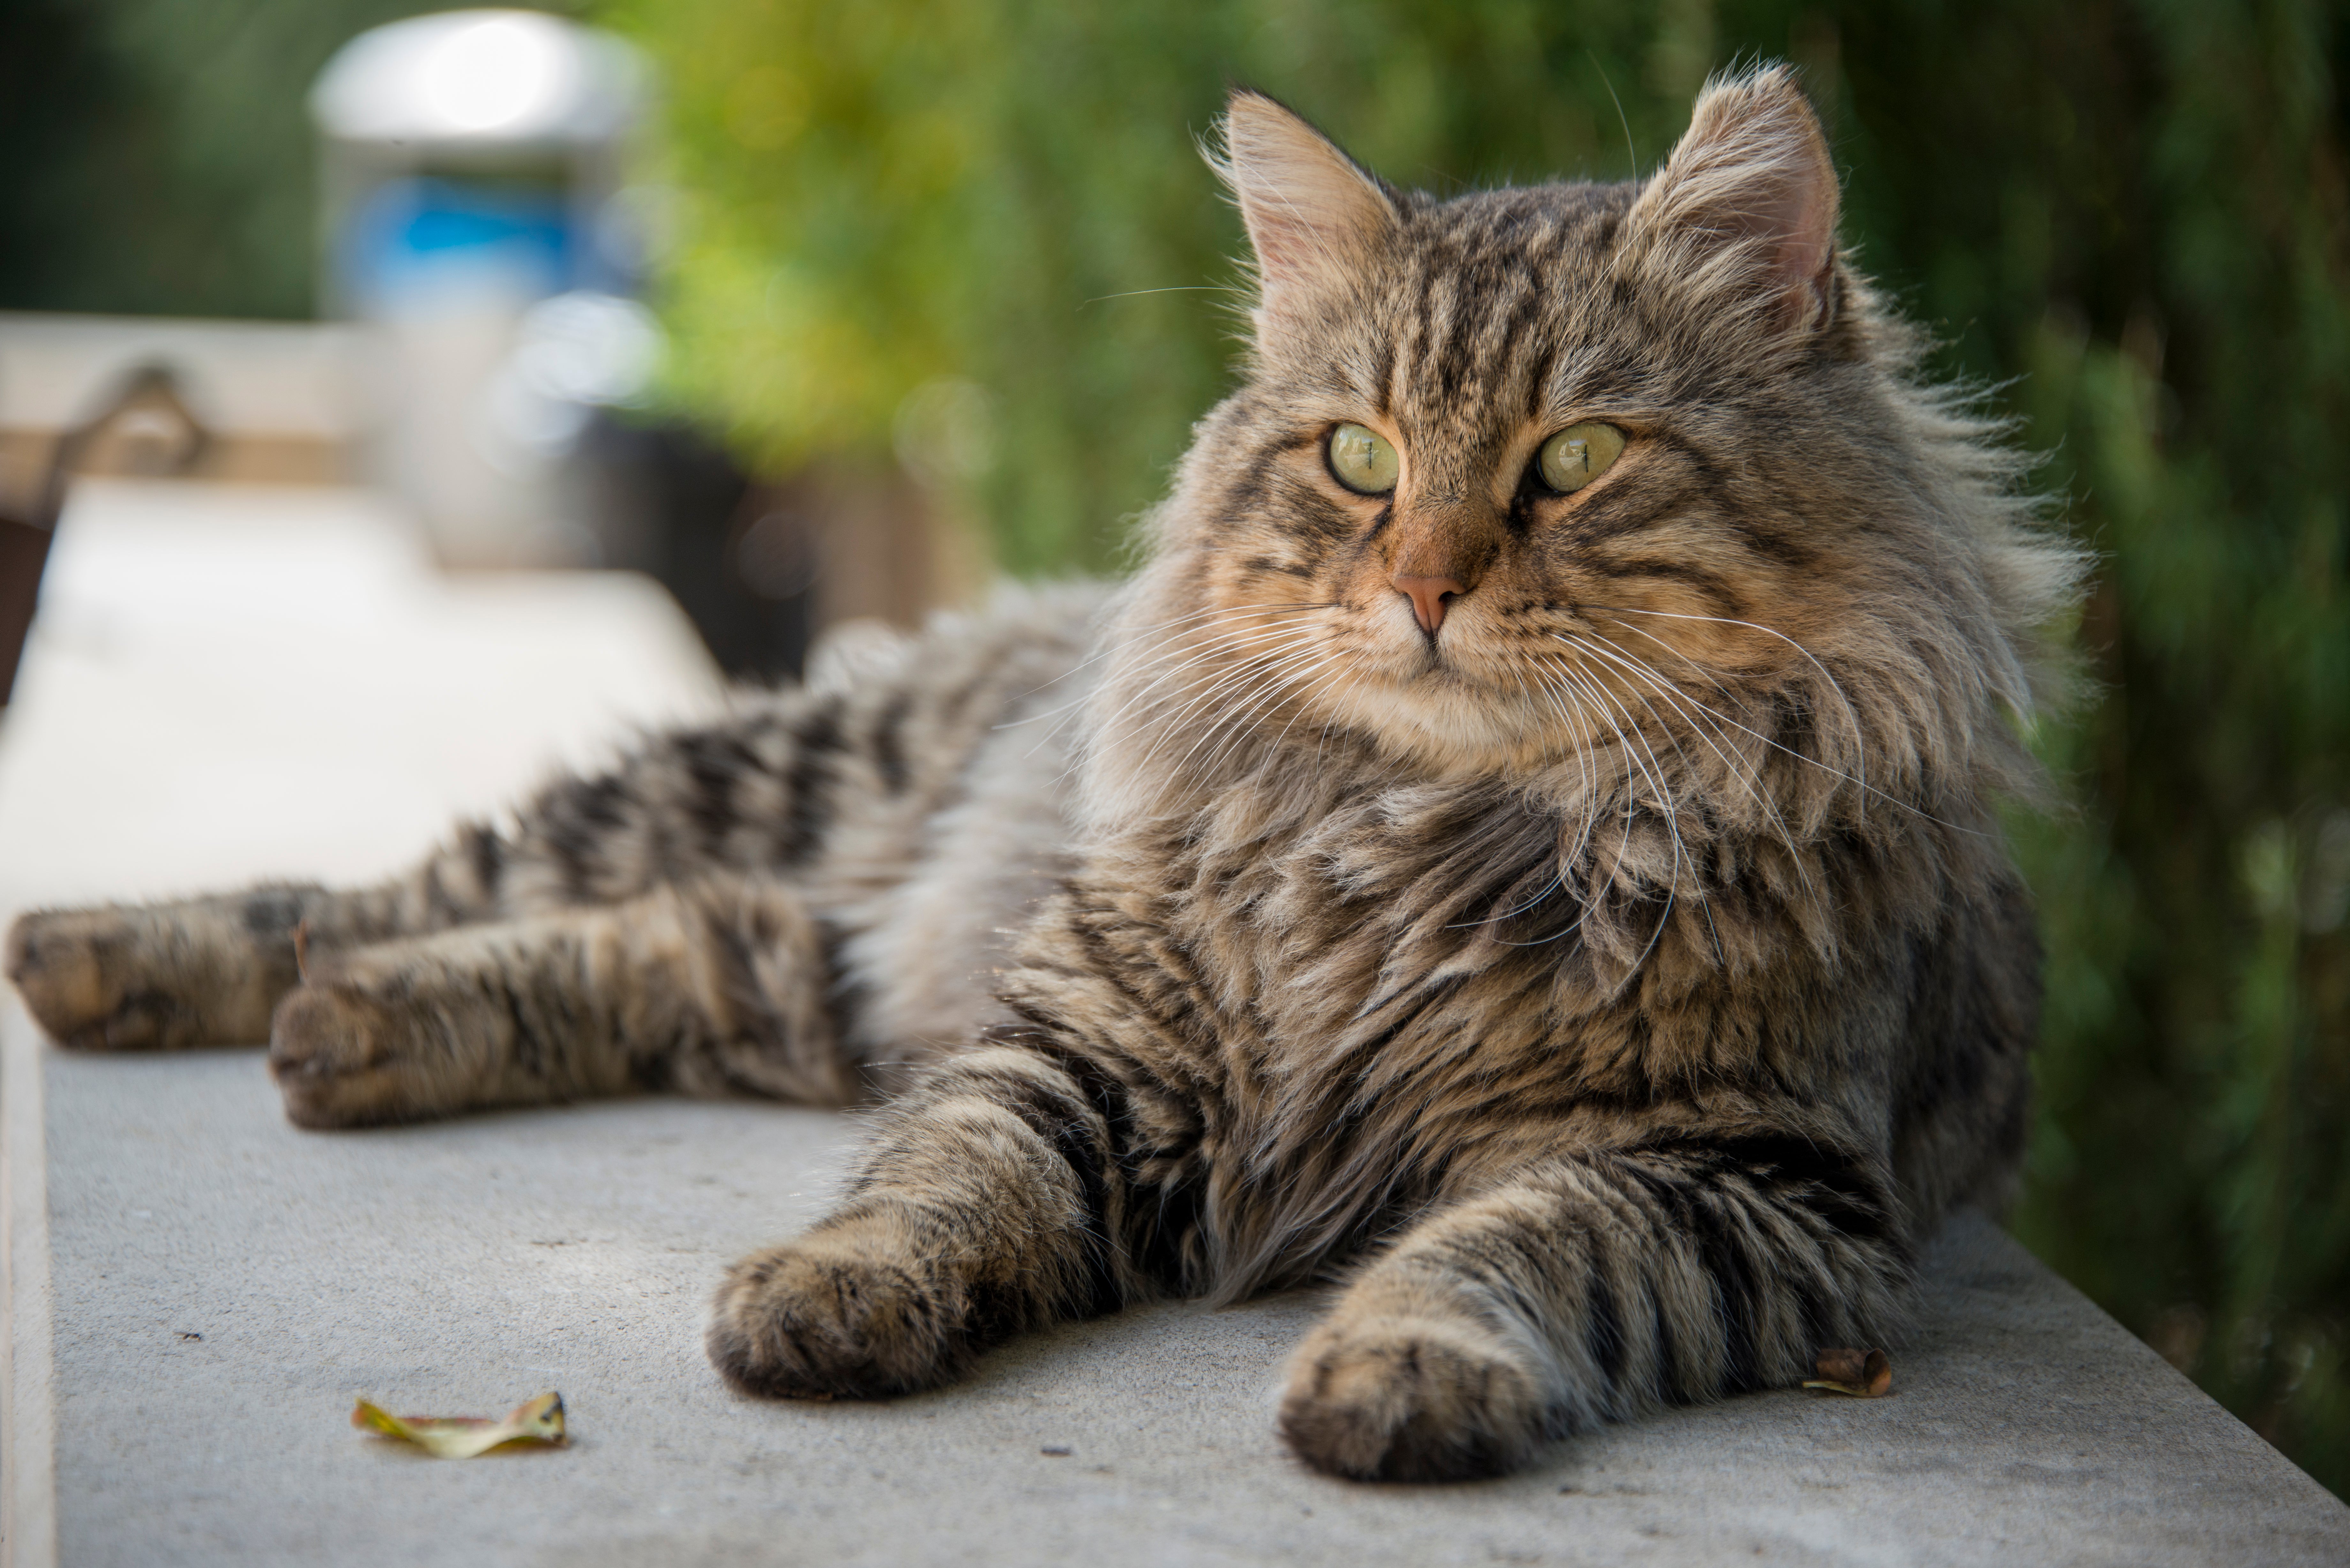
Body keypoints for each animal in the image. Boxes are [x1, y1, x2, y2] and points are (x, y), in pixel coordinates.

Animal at [0, 64, 2077, 1486]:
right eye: (1353, 457)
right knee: (409, 886)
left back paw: (346, 1033)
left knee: (663, 944)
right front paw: (822, 1293)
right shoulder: (1083, 1049)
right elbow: (939, 1180)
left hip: (836, 957)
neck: (1421, 841)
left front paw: (1395, 1370)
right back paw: (127, 963)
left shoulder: (1739, 1176)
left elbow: (1516, 1247)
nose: (1418, 587)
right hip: (790, 793)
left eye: (1570, 461)